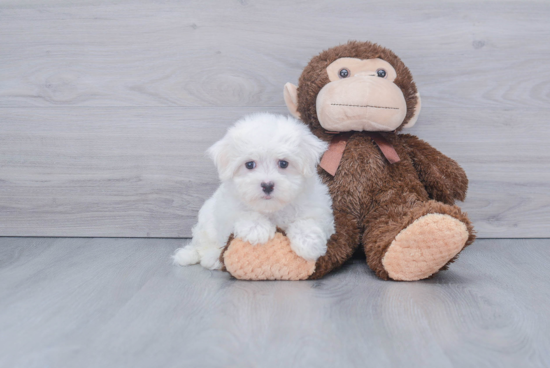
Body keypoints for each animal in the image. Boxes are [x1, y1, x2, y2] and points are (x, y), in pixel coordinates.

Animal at [172, 113, 336, 270]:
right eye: (249, 164)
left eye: (283, 163)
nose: (267, 185)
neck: (271, 209)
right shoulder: (228, 209)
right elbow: (242, 214)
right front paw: (257, 229)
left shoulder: (318, 209)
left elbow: (309, 220)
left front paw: (309, 243)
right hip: (207, 223)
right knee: (205, 246)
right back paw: (211, 258)